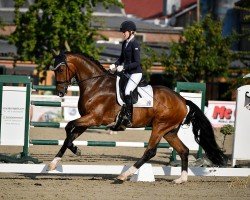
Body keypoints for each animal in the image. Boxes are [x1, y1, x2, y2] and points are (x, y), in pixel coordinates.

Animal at [47, 51, 228, 183]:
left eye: (60, 69)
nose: (60, 92)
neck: (96, 85)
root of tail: (183, 100)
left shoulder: (94, 118)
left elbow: (68, 127)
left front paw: (71, 153)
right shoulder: (87, 120)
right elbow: (69, 135)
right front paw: (58, 160)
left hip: (159, 127)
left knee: (150, 151)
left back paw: (124, 176)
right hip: (169, 131)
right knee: (183, 150)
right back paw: (181, 179)